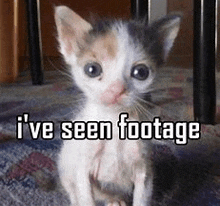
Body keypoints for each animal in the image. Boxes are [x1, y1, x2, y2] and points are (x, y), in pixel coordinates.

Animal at [54, 5, 180, 205]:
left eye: (141, 72)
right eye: (92, 69)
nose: (116, 90)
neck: (114, 124)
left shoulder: (144, 170)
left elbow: (141, 198)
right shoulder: (82, 169)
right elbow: (85, 195)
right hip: (66, 166)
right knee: (74, 190)